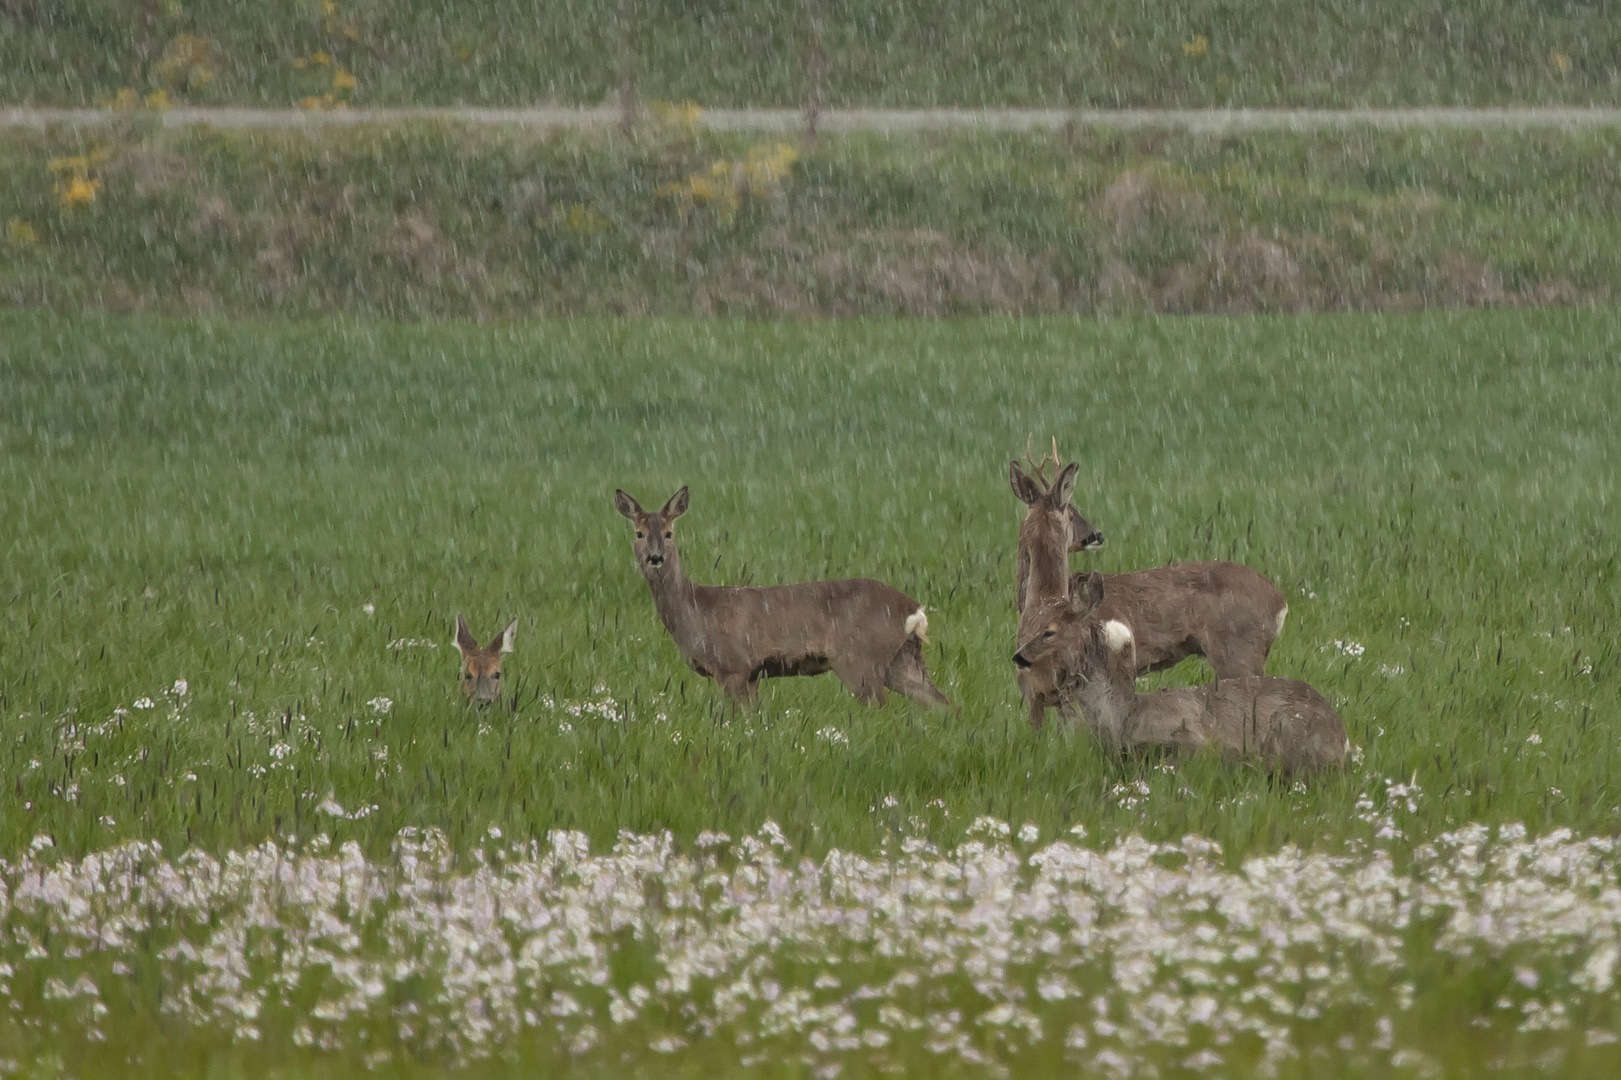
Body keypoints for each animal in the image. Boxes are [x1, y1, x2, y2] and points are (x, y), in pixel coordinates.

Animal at [615, 486, 946, 707]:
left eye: (669, 533)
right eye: (639, 534)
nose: (655, 558)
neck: (696, 609)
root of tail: (913, 609)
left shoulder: (732, 665)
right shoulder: (750, 674)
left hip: (859, 659)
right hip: (902, 659)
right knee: (944, 705)